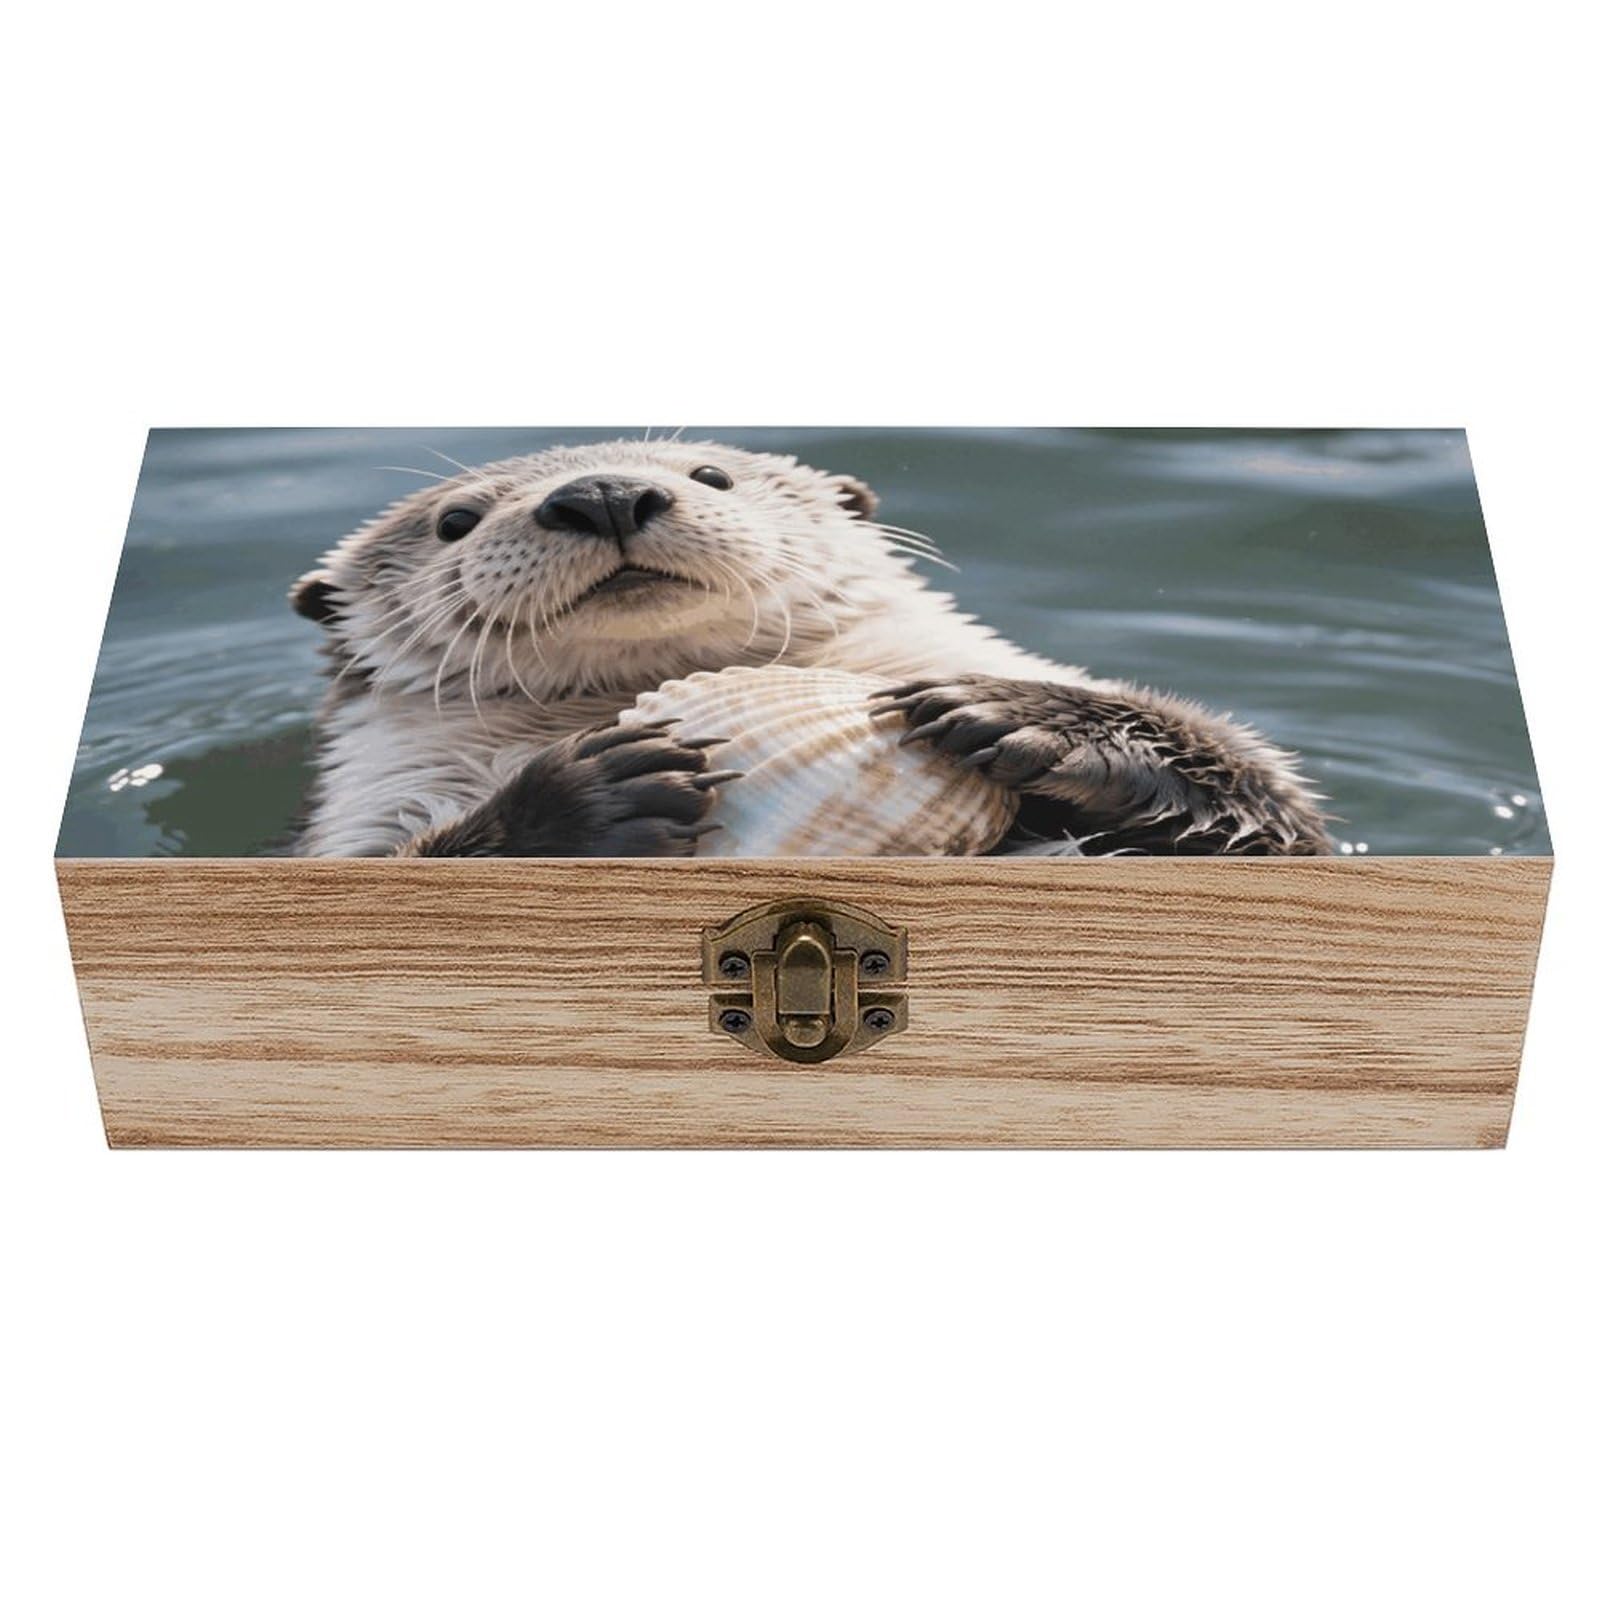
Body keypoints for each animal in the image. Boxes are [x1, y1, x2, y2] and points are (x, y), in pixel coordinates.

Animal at [289, 438, 1330, 857]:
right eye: (455, 522)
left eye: (711, 473)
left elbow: (1275, 813)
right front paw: (599, 789)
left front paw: (1013, 716)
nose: (605, 492)